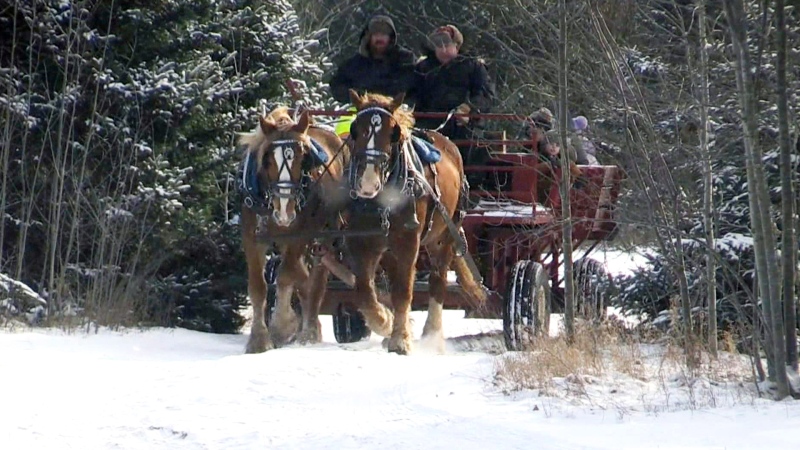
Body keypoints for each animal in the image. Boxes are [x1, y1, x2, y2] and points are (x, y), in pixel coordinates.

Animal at [238, 107, 350, 354]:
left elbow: (287, 275)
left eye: (302, 159)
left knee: (316, 282)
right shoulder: (252, 235)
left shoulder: (301, 233)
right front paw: (259, 340)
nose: (284, 212)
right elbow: (258, 286)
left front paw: (281, 327)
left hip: (324, 234)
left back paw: (309, 332)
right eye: (267, 160)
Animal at [342, 89, 484, 356]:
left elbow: (404, 290)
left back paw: (432, 335)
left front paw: (400, 340)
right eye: (355, 129)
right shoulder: (362, 241)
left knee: (437, 281)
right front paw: (385, 322)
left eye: (393, 132)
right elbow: (365, 290)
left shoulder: (408, 241)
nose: (368, 184)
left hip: (444, 236)